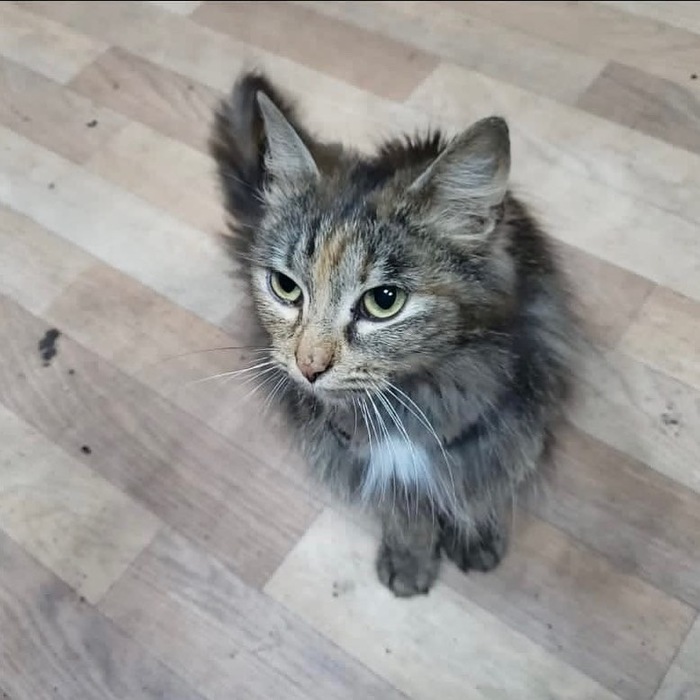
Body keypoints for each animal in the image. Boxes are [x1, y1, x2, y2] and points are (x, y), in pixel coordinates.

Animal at [209, 71, 579, 597]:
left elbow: (481, 487)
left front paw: (474, 536)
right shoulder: (356, 448)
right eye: (285, 287)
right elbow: (404, 505)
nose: (308, 366)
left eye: (384, 301)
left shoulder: (501, 426)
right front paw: (409, 556)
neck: (411, 395)